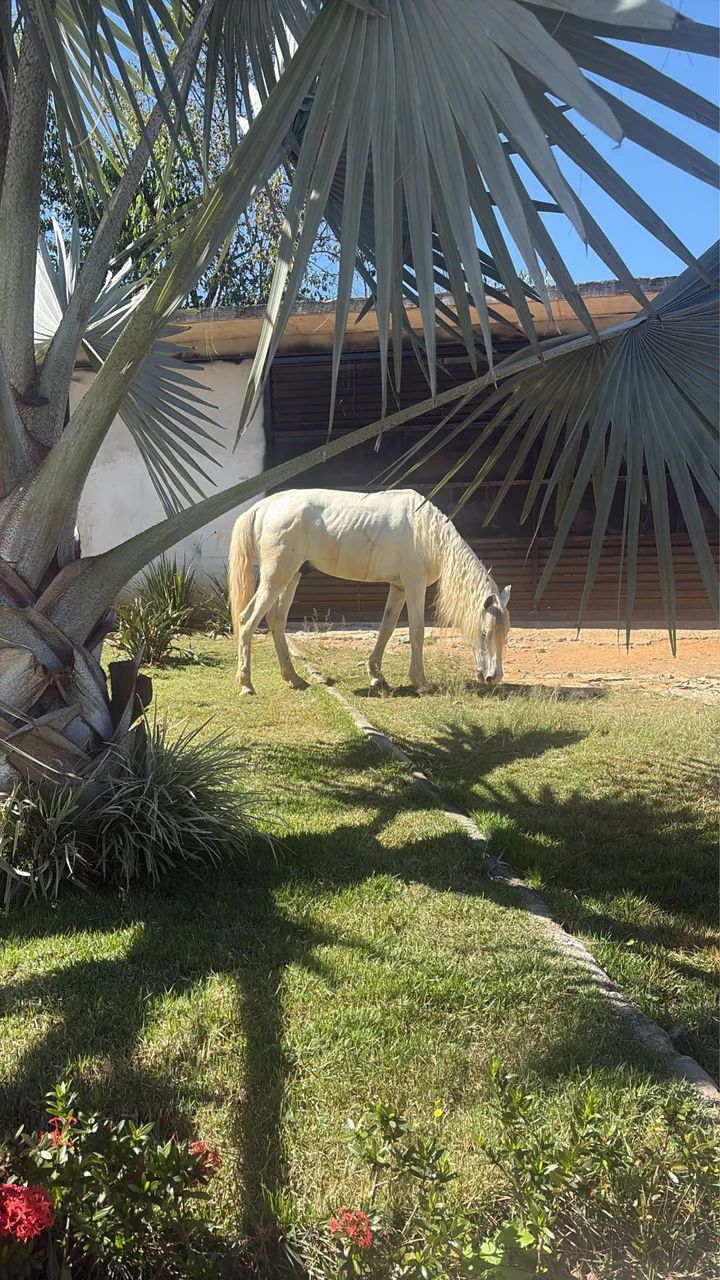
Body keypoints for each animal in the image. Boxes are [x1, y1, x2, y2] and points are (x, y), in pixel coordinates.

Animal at [228, 488, 511, 696]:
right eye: (484, 632)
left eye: (505, 634)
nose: (493, 677)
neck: (427, 532)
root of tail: (263, 508)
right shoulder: (414, 584)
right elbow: (416, 632)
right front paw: (420, 682)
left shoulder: (398, 587)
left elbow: (386, 628)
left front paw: (377, 677)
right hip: (275, 579)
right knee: (247, 620)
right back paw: (246, 684)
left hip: (292, 577)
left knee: (276, 620)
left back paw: (294, 678)